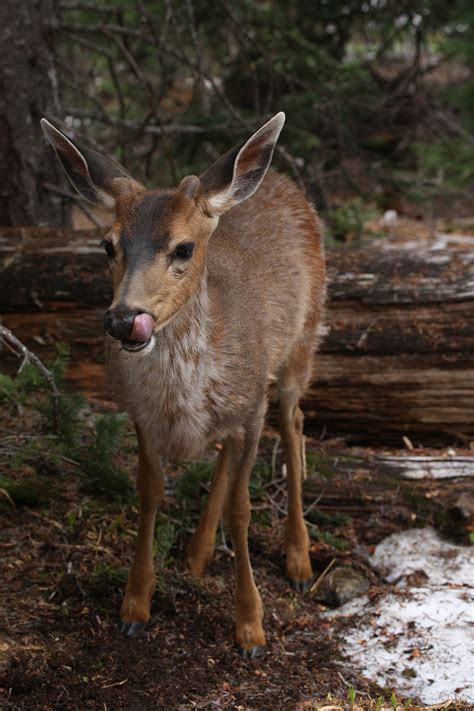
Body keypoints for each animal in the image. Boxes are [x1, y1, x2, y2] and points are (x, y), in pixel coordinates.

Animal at [40, 112, 326, 660]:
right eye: (107, 245)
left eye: (184, 248)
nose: (122, 319)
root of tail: (280, 180)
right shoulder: (140, 414)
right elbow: (150, 492)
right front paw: (135, 606)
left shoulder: (251, 404)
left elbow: (242, 510)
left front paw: (251, 628)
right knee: (227, 450)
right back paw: (196, 553)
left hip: (302, 339)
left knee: (295, 419)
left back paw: (299, 559)